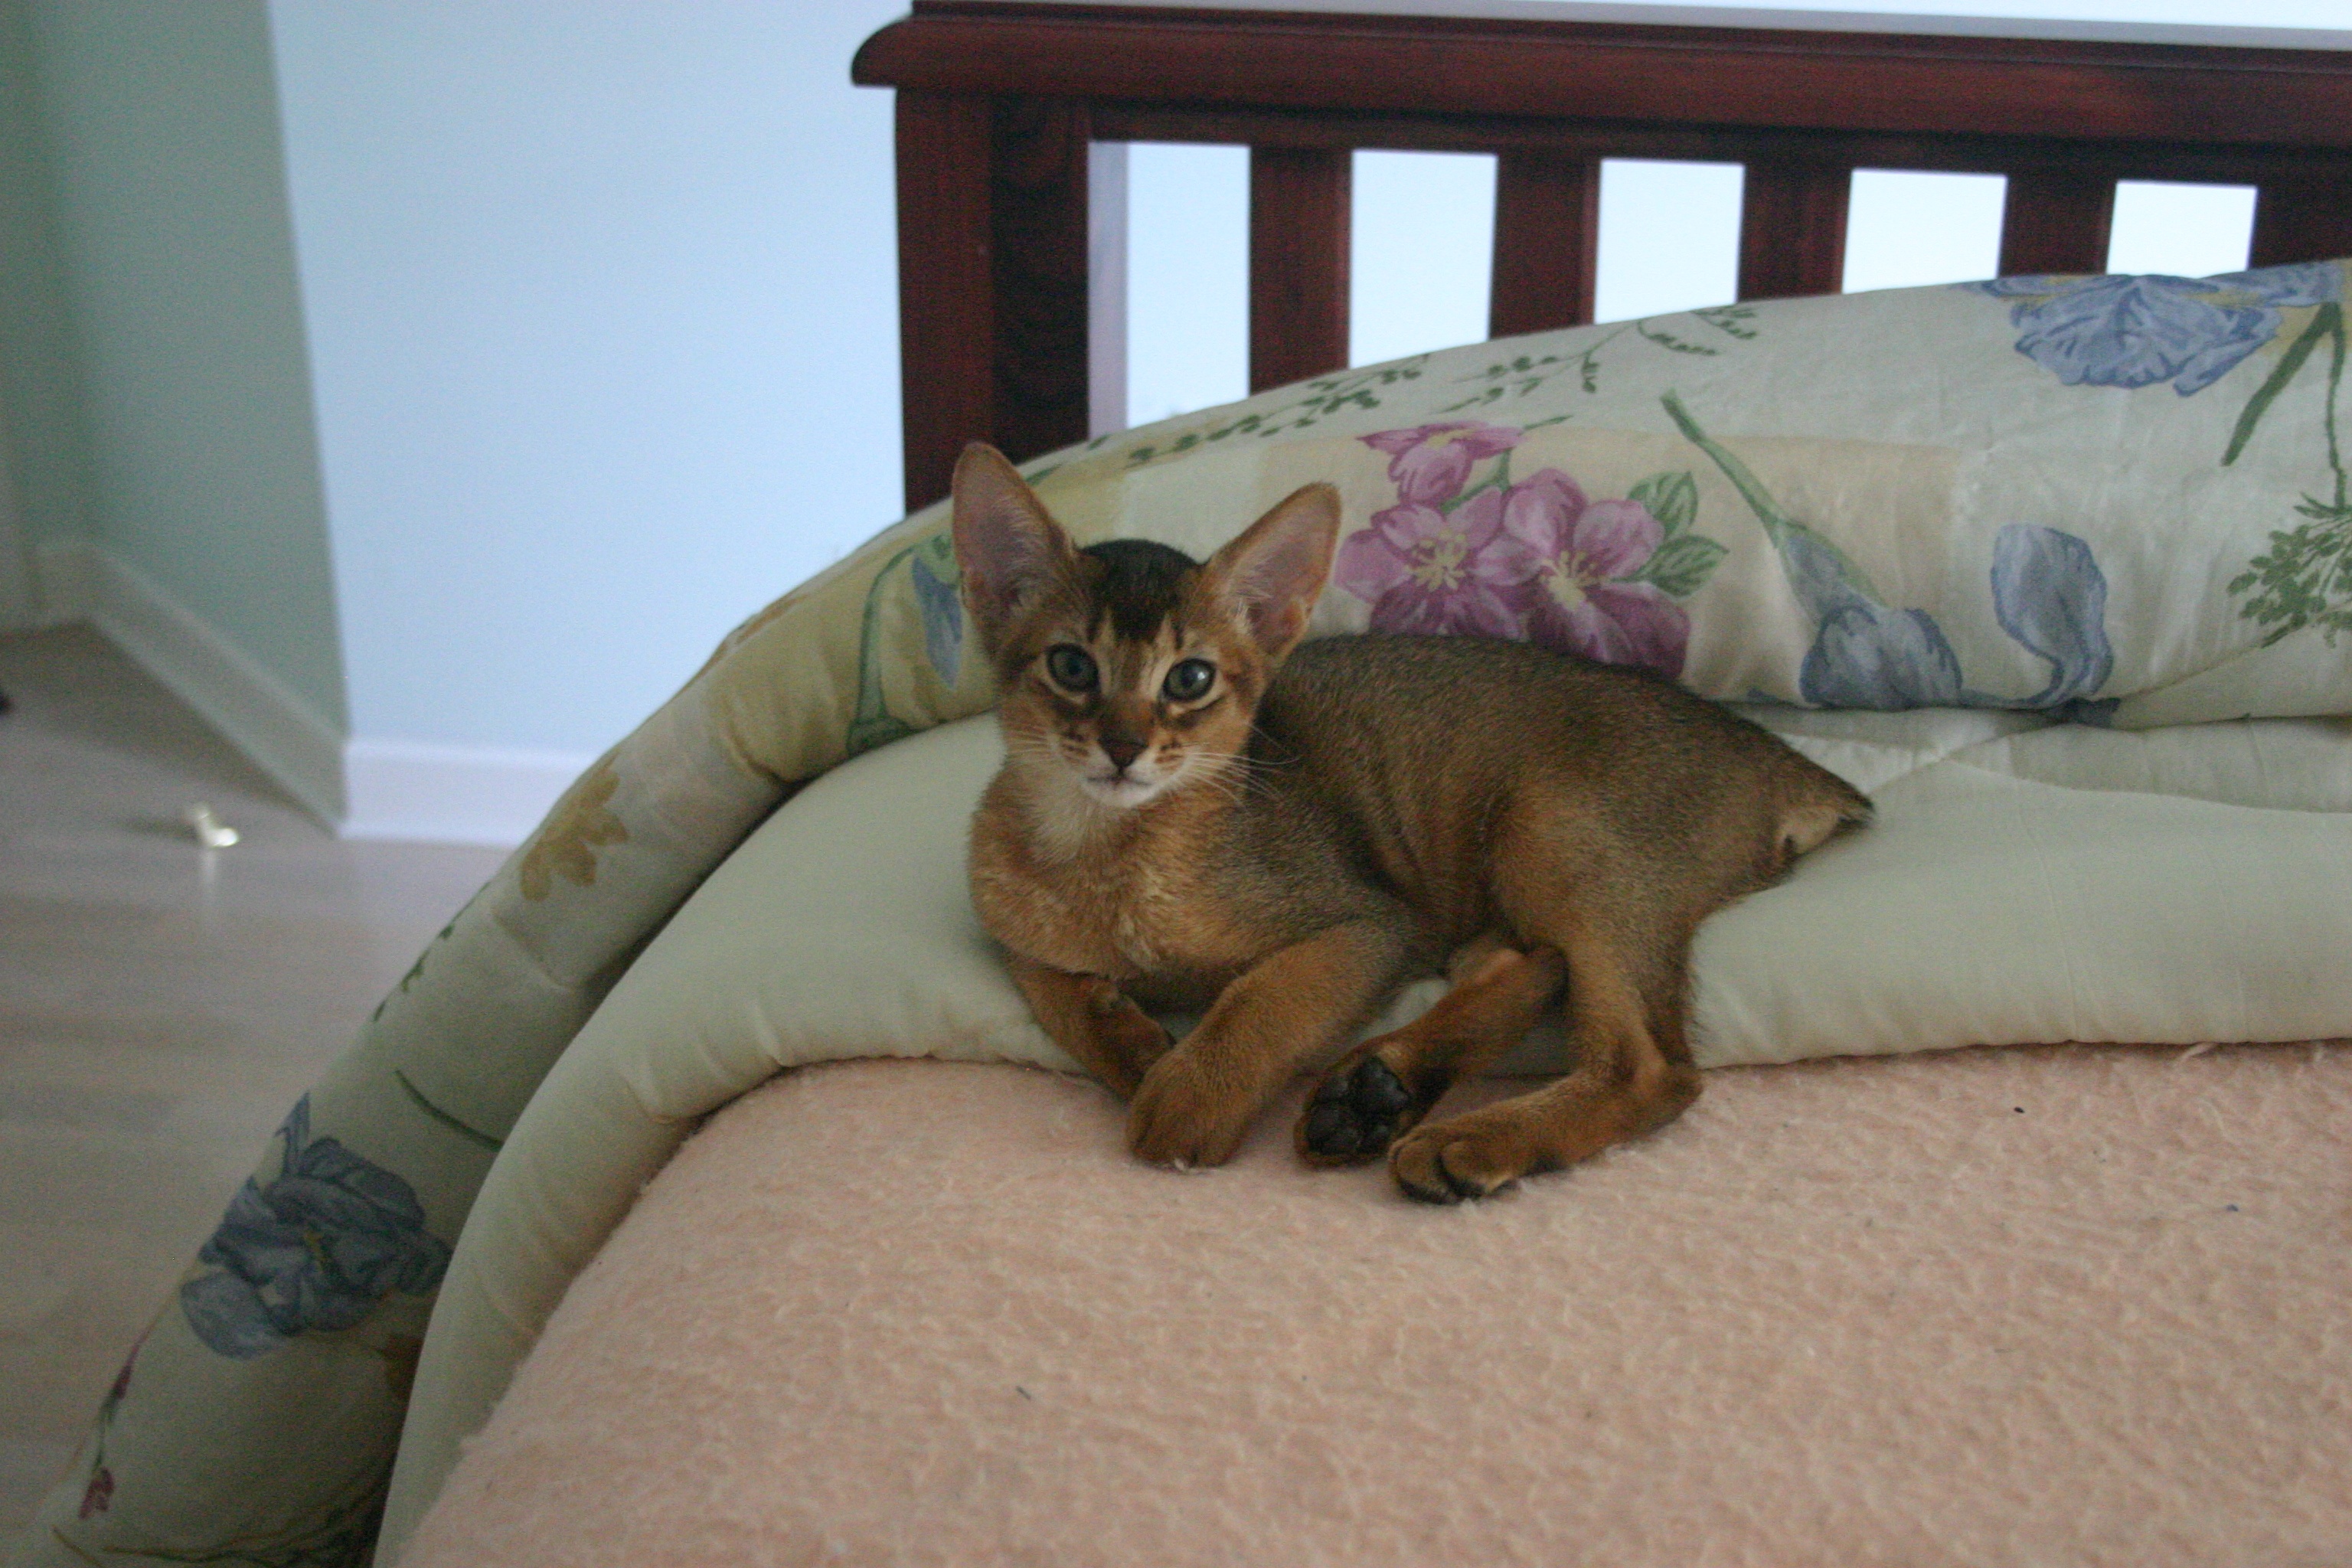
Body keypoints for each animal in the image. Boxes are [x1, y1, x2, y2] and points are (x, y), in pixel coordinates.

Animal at [953, 443, 1871, 1202]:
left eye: (1190, 678)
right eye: (1072, 665)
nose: (1122, 746)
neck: (1109, 859)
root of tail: (1781, 759)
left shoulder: (1371, 925)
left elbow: (1262, 998)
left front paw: (1187, 1093)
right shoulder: (1008, 926)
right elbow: (1051, 987)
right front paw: (1136, 1047)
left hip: (1551, 825)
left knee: (1651, 1068)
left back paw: (1462, 1139)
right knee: (1531, 961)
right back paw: (1372, 1097)